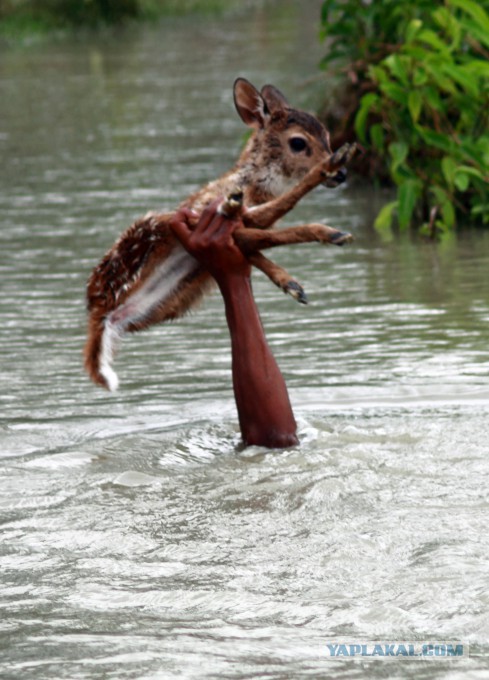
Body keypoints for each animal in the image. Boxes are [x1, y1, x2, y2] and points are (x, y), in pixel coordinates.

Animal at [86, 77, 354, 390]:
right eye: (298, 142)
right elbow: (266, 228)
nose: (342, 174)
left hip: (175, 298)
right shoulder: (206, 213)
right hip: (152, 228)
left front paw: (292, 283)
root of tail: (100, 312)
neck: (254, 186)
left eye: (326, 134)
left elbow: (259, 242)